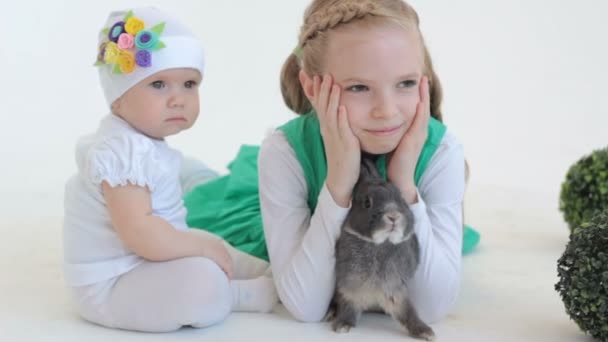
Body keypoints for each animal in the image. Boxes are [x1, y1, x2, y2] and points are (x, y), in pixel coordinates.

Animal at [330, 156, 434, 340]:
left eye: (401, 199)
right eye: (367, 203)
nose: (393, 216)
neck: (381, 244)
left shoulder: (396, 292)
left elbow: (408, 313)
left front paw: (425, 332)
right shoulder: (348, 289)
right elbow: (348, 306)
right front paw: (342, 325)